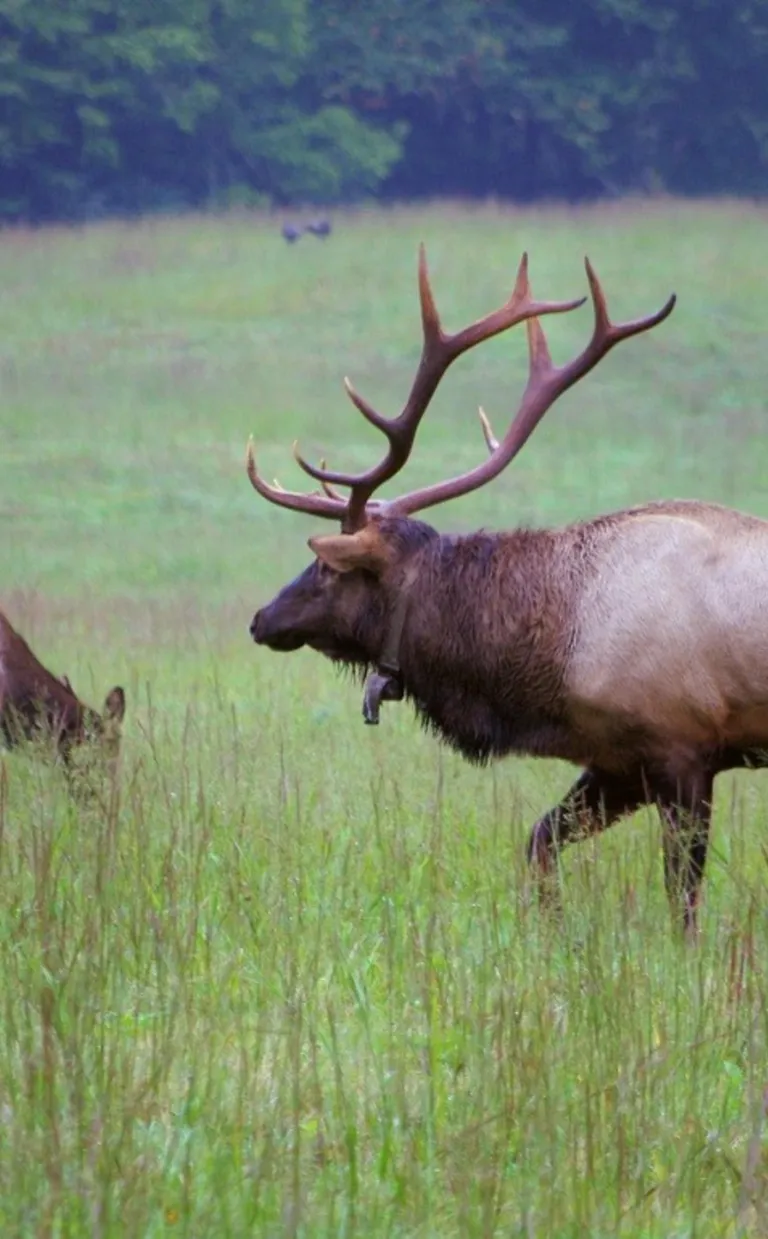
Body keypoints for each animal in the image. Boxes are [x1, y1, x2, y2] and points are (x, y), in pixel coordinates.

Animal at [245, 245, 768, 935]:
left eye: (328, 569)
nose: (260, 619)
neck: (554, 665)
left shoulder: (684, 750)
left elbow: (682, 900)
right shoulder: (618, 760)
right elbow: (540, 840)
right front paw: (554, 935)